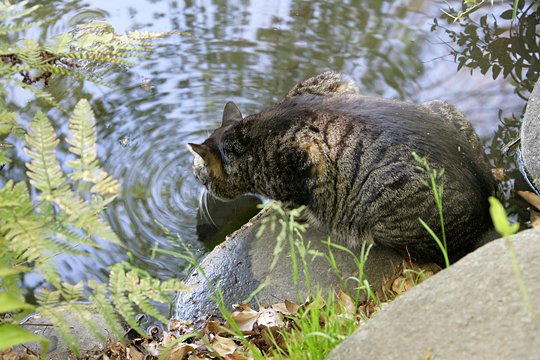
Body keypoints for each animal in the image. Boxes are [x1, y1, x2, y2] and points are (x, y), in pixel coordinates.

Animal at [188, 72, 496, 264]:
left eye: (199, 176)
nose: (197, 185)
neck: (247, 136)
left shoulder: (303, 158)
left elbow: (294, 200)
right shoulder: (331, 83)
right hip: (445, 108)